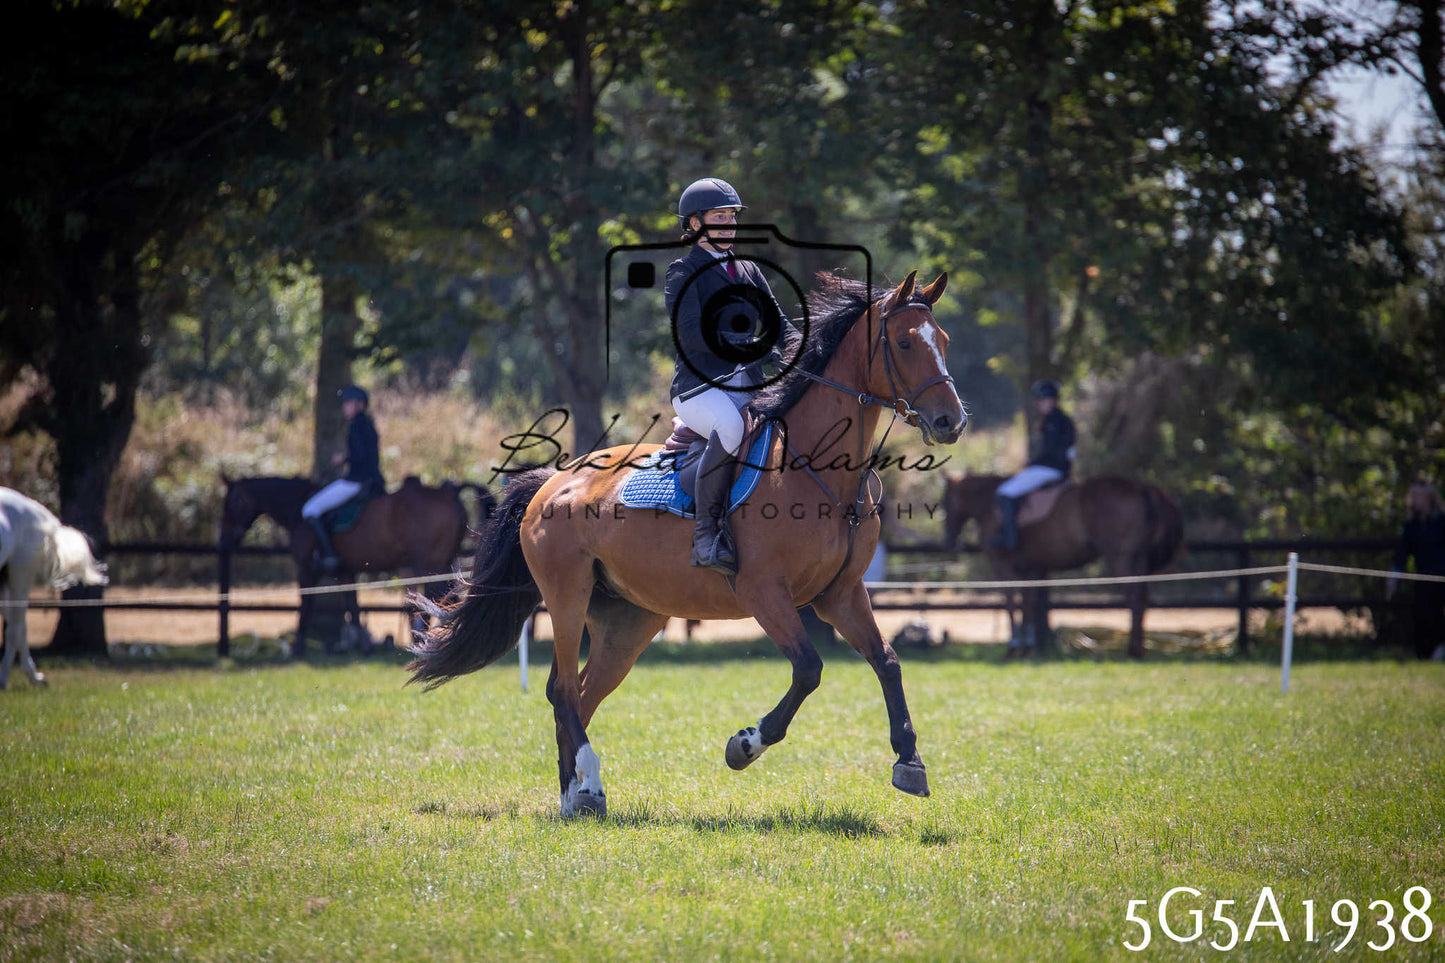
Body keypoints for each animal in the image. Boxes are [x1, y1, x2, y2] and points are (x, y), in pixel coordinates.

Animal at [0, 487, 108, 689]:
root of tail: (31, 506)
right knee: (19, 626)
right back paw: (34, 677)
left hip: (19, 573)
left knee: (16, 628)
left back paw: (7, 679)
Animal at [218, 475, 492, 653]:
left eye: (232, 503)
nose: (223, 542)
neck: (296, 509)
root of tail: (448, 492)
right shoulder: (346, 571)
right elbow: (354, 606)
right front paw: (363, 644)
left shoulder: (305, 568)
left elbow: (305, 605)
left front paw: (298, 647)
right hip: (441, 562)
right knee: (447, 599)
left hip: (426, 564)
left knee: (438, 599)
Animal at [408, 270, 966, 817]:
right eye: (904, 343)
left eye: (943, 341)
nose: (952, 422)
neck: (817, 469)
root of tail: (553, 481)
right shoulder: (765, 592)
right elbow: (809, 670)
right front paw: (745, 744)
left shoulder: (841, 595)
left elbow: (887, 661)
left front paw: (910, 762)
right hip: (567, 597)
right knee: (562, 690)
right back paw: (588, 788)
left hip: (628, 622)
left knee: (582, 696)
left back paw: (575, 796)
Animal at [941, 473, 1184, 658]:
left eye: (946, 502)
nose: (948, 540)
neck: (989, 503)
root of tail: (1142, 487)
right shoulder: (1029, 569)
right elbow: (1027, 605)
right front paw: (1027, 648)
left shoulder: (1004, 567)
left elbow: (1011, 603)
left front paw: (1013, 647)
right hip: (1139, 558)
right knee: (1142, 598)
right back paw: (1138, 649)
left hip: (1120, 557)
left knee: (1133, 598)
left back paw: (1132, 651)